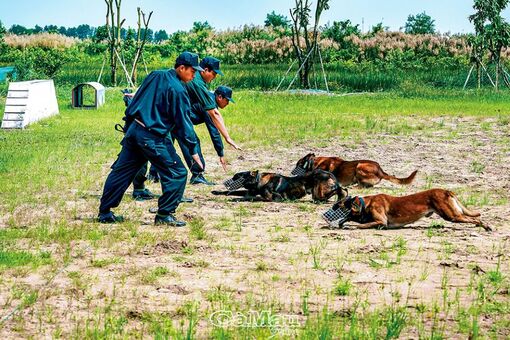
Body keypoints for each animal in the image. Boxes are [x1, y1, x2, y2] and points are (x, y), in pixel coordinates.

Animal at [290, 153, 418, 187]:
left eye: (298, 165)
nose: (291, 172)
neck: (314, 163)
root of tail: (381, 171)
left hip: (359, 165)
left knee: (363, 186)